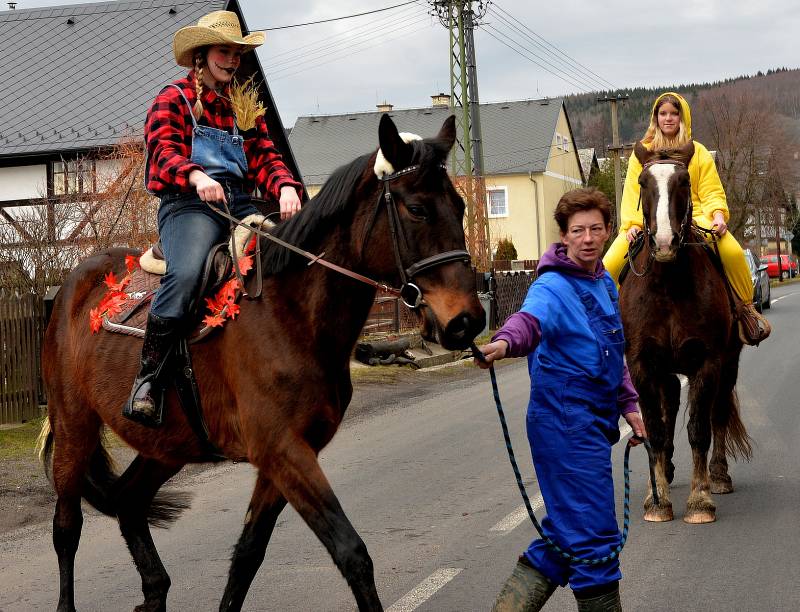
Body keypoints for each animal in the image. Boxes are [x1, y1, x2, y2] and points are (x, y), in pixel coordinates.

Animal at [40, 116, 484, 612]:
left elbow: (248, 555)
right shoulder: (282, 450)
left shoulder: (284, 457)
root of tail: (72, 286)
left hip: (166, 446)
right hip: (74, 427)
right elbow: (351, 552)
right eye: (417, 209)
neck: (289, 312)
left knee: (129, 502)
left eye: (460, 207)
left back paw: (155, 591)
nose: (467, 321)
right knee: (67, 528)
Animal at [620, 141, 752, 524]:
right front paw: (658, 500)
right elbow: (655, 428)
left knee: (718, 414)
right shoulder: (643, 365)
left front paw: (700, 500)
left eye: (683, 182)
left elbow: (699, 429)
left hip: (728, 364)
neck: (668, 285)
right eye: (643, 182)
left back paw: (718, 476)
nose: (664, 242)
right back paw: (662, 477)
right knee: (667, 417)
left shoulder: (707, 363)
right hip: (667, 372)